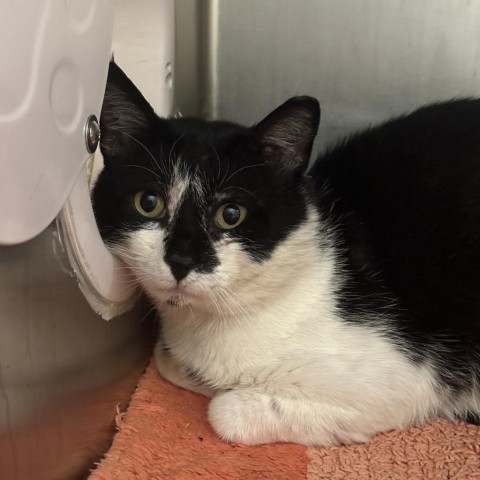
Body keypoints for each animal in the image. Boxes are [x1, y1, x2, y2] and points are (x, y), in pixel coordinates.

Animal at [92, 62, 480, 448]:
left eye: (231, 214)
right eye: (148, 202)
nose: (181, 261)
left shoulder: (400, 379)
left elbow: (224, 411)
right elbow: (170, 361)